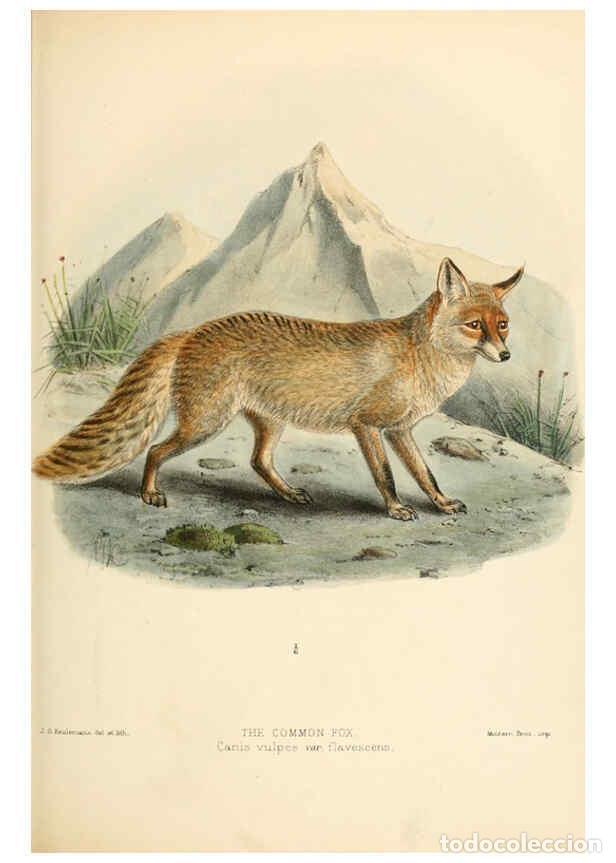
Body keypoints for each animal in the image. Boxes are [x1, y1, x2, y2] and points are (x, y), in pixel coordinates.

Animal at [33, 258, 523, 521]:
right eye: (474, 326)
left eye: (502, 325)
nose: (505, 356)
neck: (420, 359)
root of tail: (193, 331)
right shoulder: (367, 426)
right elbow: (385, 476)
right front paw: (395, 509)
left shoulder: (400, 430)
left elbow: (425, 474)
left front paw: (441, 504)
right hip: (205, 423)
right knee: (154, 450)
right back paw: (149, 493)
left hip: (266, 423)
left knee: (258, 461)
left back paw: (288, 494)